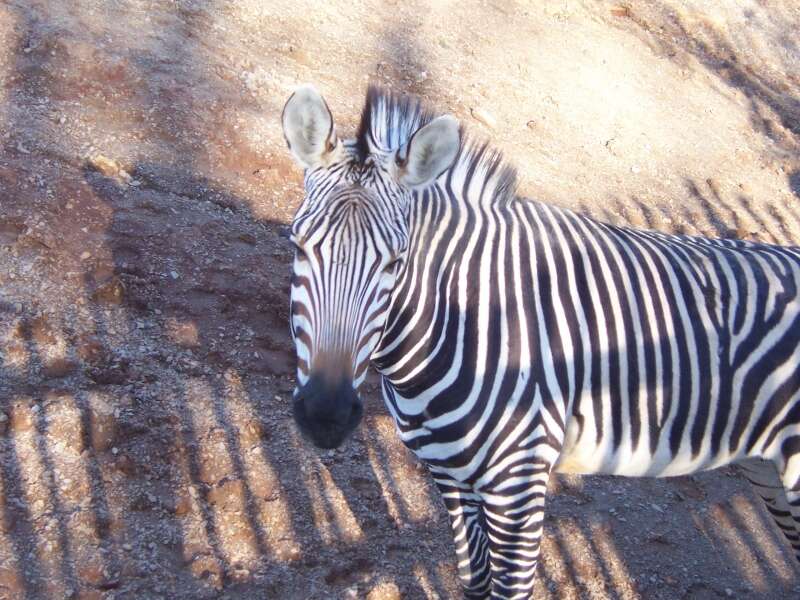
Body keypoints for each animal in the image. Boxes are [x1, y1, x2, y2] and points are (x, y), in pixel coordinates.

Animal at [280, 85, 800, 600]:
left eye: (396, 262)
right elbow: (474, 581)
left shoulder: (518, 484)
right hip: (768, 469)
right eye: (297, 245)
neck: (466, 318)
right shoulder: (451, 477)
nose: (326, 415)